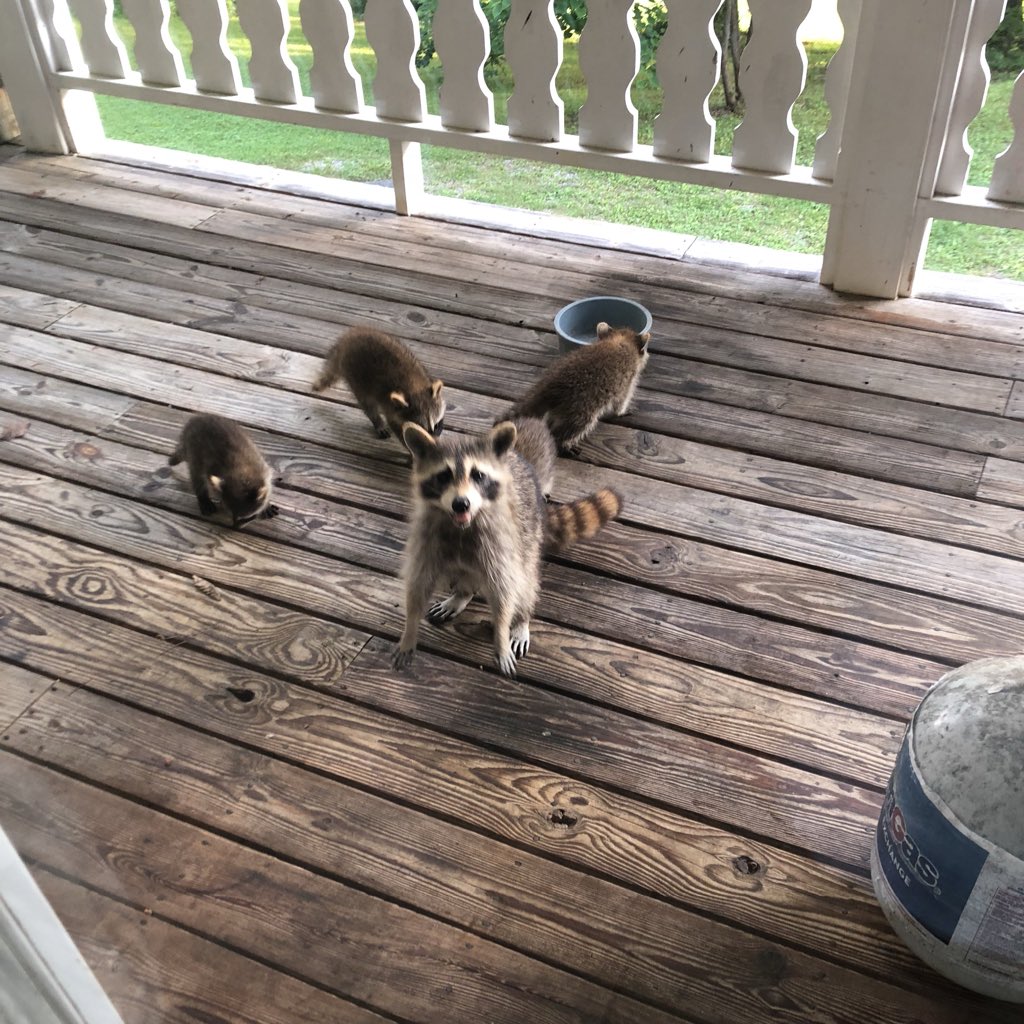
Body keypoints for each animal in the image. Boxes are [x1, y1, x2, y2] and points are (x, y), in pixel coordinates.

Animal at [312, 326, 445, 441]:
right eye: (419, 429)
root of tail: (346, 341)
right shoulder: (391, 407)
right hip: (356, 377)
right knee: (367, 404)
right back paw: (377, 421)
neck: (414, 388)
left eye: (436, 425)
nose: (433, 441)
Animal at [393, 419, 620, 677]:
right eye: (443, 476)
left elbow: (504, 592)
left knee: (525, 581)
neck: (462, 525)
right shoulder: (427, 539)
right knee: (467, 573)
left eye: (478, 475)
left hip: (528, 535)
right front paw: (409, 630)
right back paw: (463, 594)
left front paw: (501, 636)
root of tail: (518, 458)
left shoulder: (501, 543)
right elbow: (418, 585)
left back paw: (521, 618)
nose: (461, 503)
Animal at [505, 322, 650, 453]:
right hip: (580, 405)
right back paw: (563, 443)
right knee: (575, 426)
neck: (621, 340)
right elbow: (621, 400)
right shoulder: (627, 379)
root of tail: (551, 384)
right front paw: (621, 411)